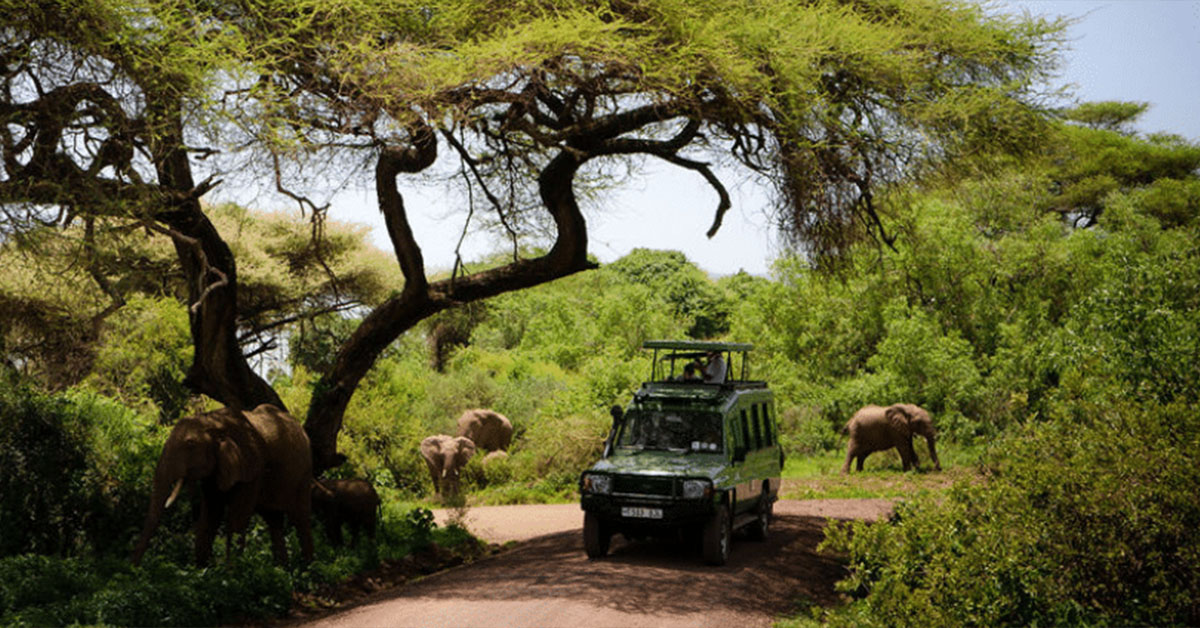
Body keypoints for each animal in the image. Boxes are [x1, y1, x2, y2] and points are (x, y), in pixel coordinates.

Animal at [132, 404, 315, 566]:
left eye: (190, 444)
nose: (133, 568)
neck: (213, 423)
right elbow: (210, 514)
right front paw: (203, 572)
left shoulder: (253, 468)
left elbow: (236, 519)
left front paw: (230, 576)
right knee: (274, 521)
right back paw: (283, 570)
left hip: (304, 474)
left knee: (301, 519)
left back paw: (306, 571)